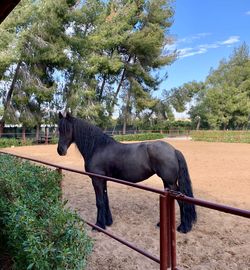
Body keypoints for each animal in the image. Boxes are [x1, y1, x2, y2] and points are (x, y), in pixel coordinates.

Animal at [57, 113, 196, 233]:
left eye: (67, 130)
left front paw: (98, 225)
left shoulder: (97, 180)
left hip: (171, 183)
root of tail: (173, 150)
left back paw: (183, 227)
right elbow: (106, 200)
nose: (60, 150)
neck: (97, 148)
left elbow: (100, 202)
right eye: (58, 130)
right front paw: (108, 222)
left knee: (182, 201)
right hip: (166, 183)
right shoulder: (103, 180)